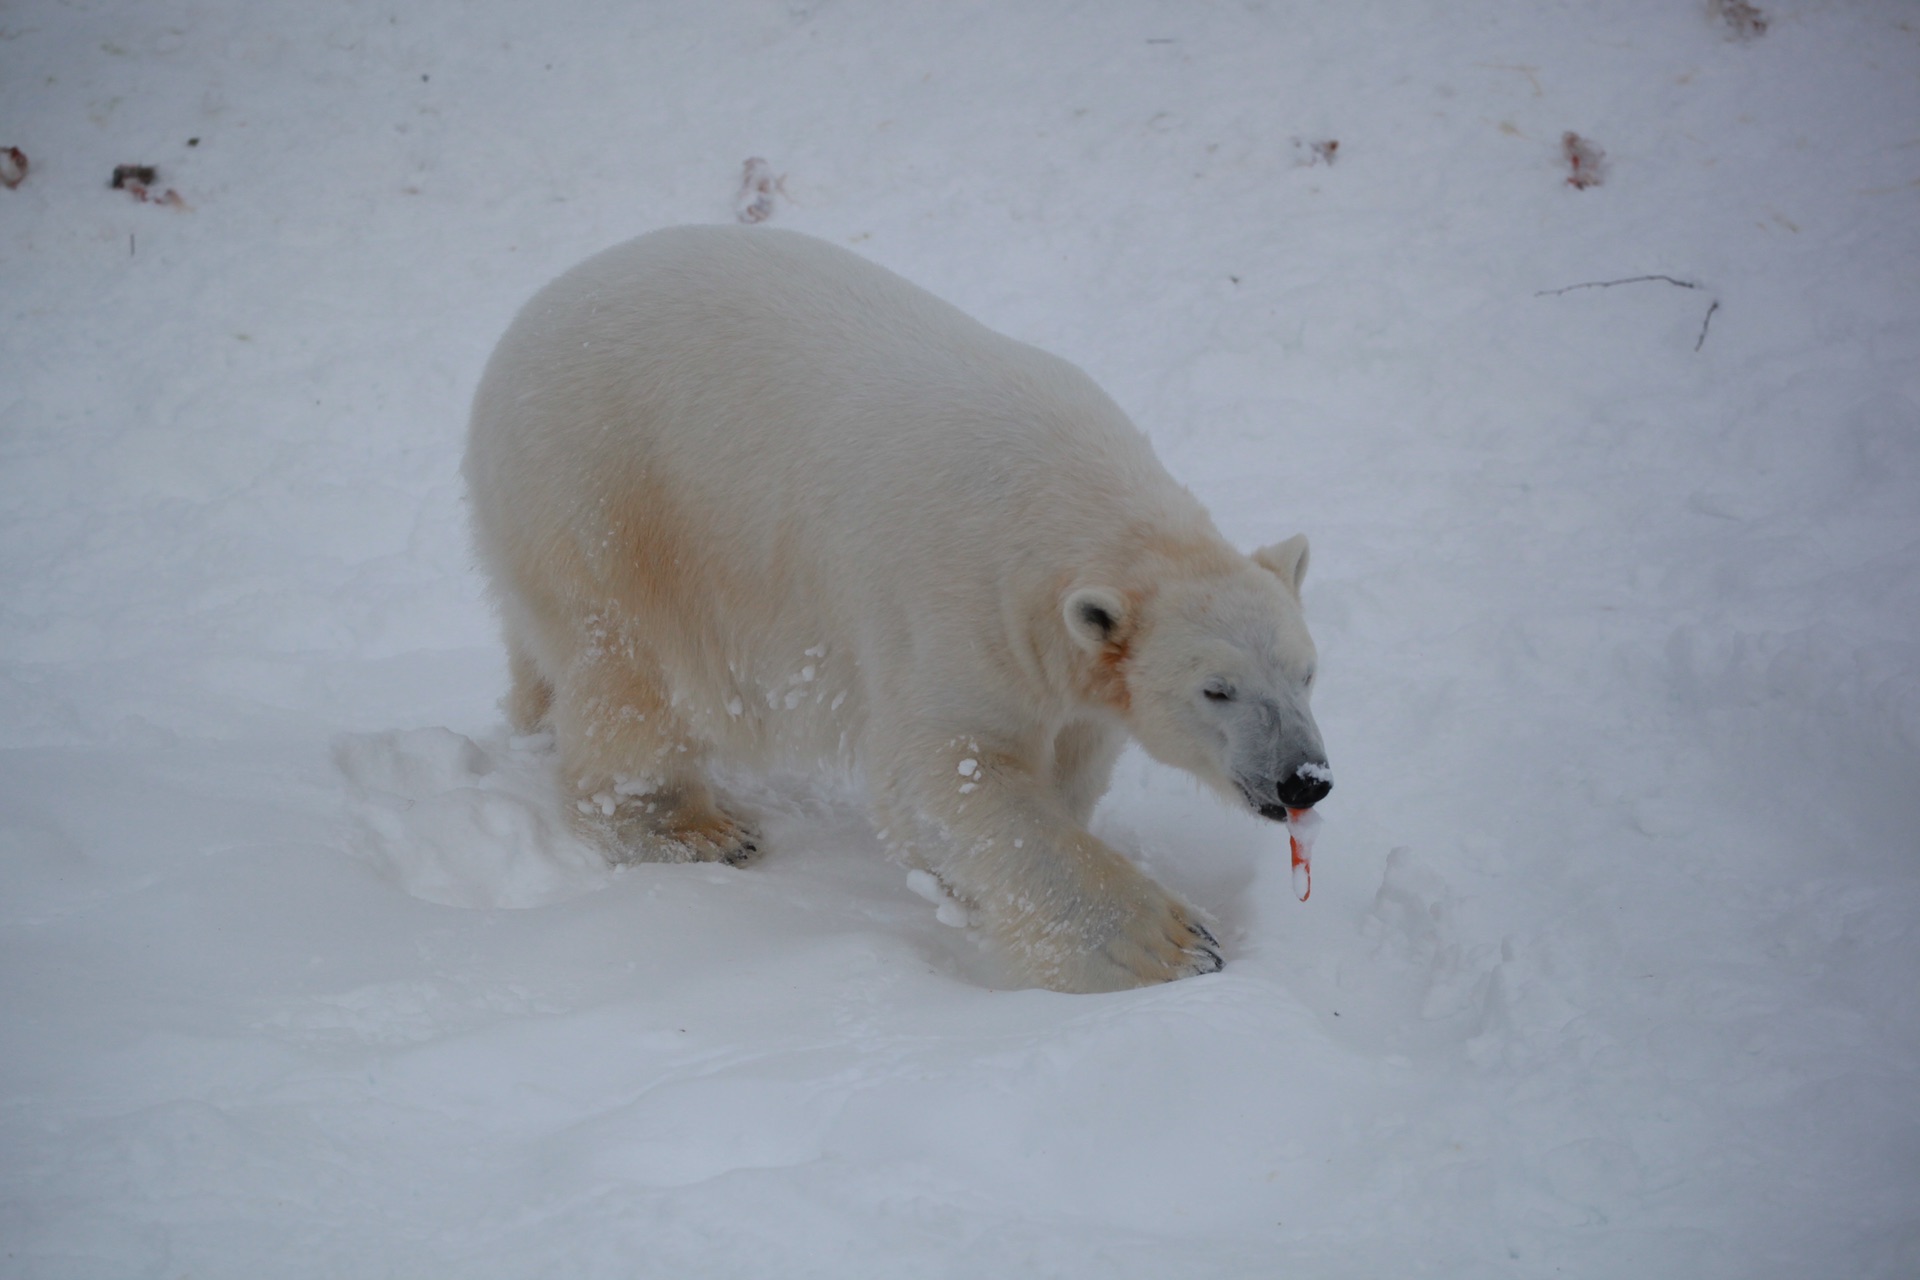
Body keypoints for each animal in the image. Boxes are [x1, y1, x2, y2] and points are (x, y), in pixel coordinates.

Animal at [466, 225, 1336, 997]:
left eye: (1308, 673)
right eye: (1216, 690)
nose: (1305, 779)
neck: (1076, 504)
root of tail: (513, 338)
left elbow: (1068, 751)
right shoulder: (961, 602)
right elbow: (950, 772)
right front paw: (1174, 947)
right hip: (606, 498)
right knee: (630, 678)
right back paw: (694, 827)